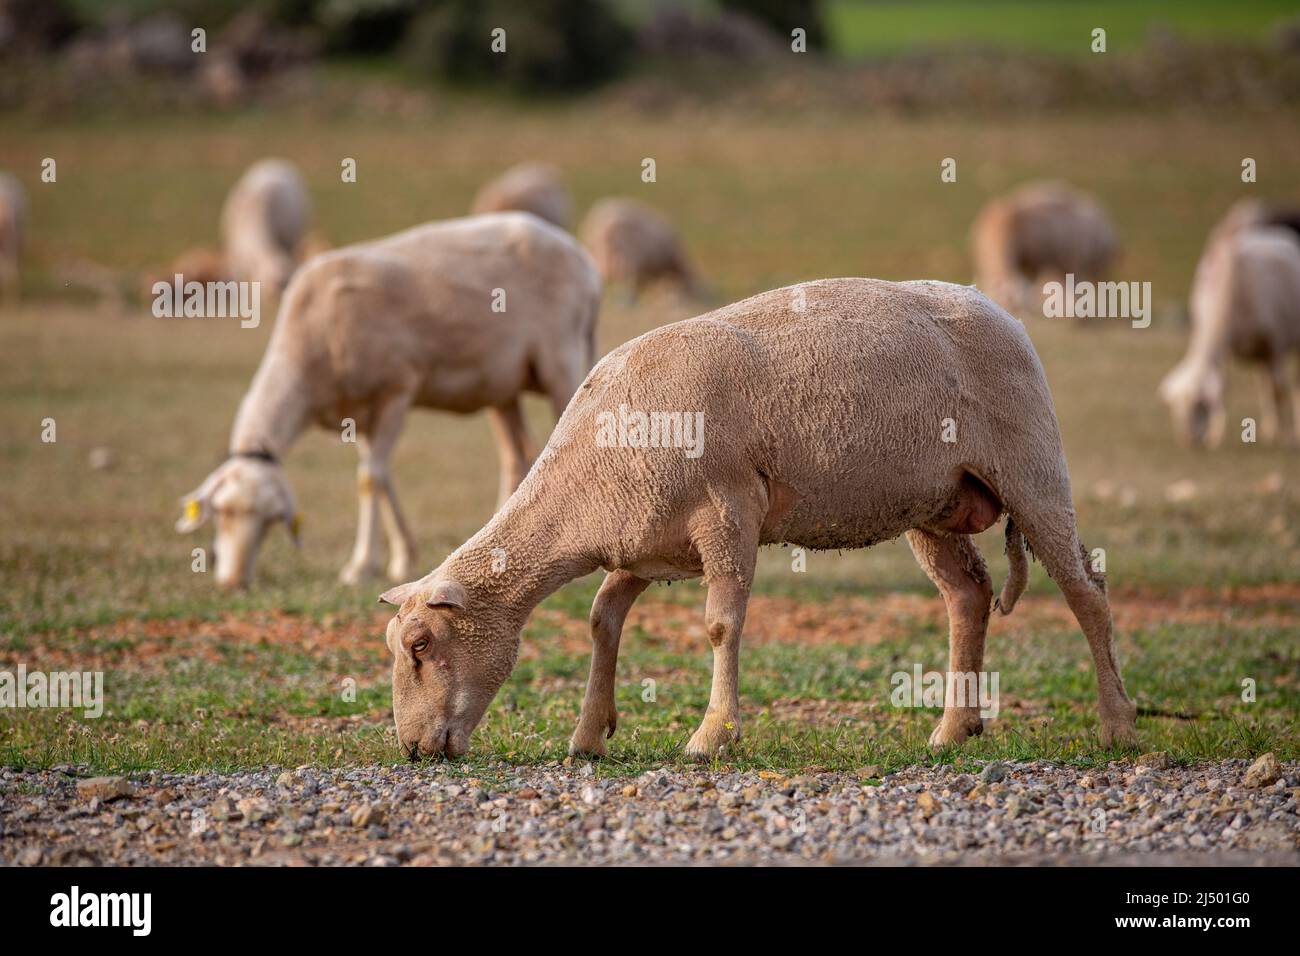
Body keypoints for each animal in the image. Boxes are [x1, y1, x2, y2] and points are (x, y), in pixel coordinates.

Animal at [177, 212, 602, 589]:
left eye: (268, 522)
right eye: (221, 514)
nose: (233, 583)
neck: (308, 351)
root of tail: (584, 261)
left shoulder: (396, 390)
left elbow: (370, 478)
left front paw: (360, 567)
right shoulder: (358, 412)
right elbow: (380, 477)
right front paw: (401, 558)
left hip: (561, 358)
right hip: (502, 384)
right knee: (518, 456)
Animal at [379, 278, 1137, 760]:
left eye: (420, 645)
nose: (413, 750)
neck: (587, 486)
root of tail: (997, 308)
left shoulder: (728, 512)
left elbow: (721, 624)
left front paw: (712, 736)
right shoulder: (645, 544)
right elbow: (602, 620)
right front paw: (591, 735)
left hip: (1031, 462)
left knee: (1085, 593)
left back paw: (1118, 726)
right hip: (938, 500)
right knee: (968, 595)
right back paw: (955, 729)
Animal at [1160, 200, 1300, 447]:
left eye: (1200, 406)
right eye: (1175, 411)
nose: (1188, 441)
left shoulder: (1276, 345)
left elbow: (1279, 389)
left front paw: (1287, 437)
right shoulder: (1226, 347)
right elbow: (1224, 388)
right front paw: (1217, 436)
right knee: (1263, 384)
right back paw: (1268, 427)